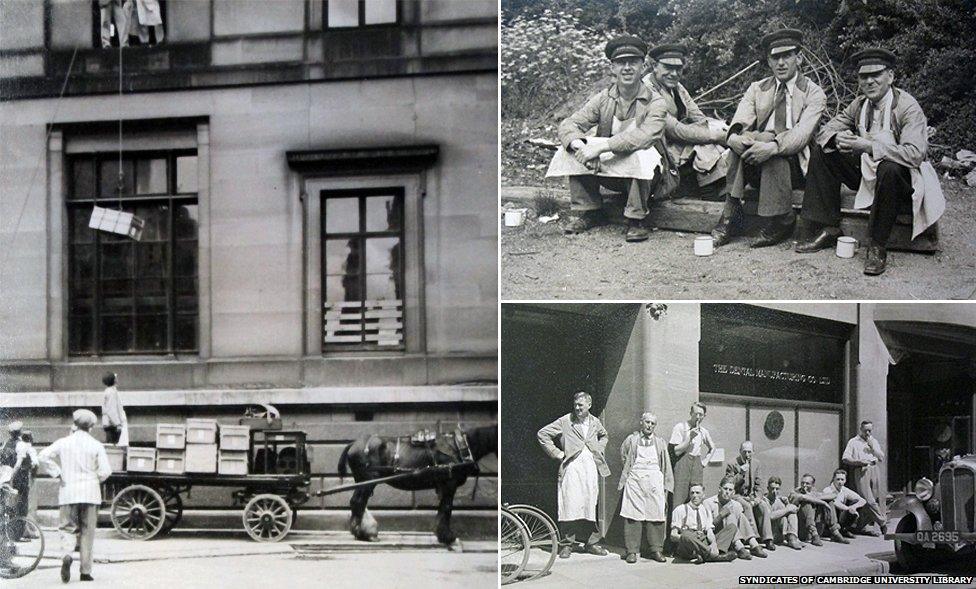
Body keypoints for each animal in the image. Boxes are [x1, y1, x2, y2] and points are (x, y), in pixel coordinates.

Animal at [340, 422, 500, 544]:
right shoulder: (450, 484)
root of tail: (353, 444)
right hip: (367, 481)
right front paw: (447, 537)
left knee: (358, 503)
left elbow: (442, 509)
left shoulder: (445, 486)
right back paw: (362, 534)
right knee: (358, 502)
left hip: (362, 482)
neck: (459, 445)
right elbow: (447, 508)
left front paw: (441, 535)